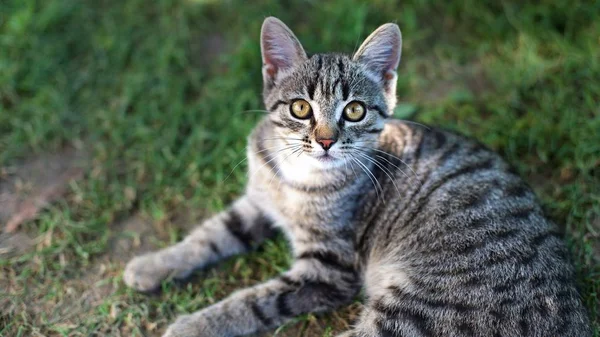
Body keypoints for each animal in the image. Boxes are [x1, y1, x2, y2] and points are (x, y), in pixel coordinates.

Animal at [122, 16, 592, 336]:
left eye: (354, 111)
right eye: (300, 108)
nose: (326, 140)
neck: (296, 179)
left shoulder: (328, 268)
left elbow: (254, 300)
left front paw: (194, 324)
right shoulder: (256, 200)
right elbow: (208, 235)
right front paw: (153, 264)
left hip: (415, 312)